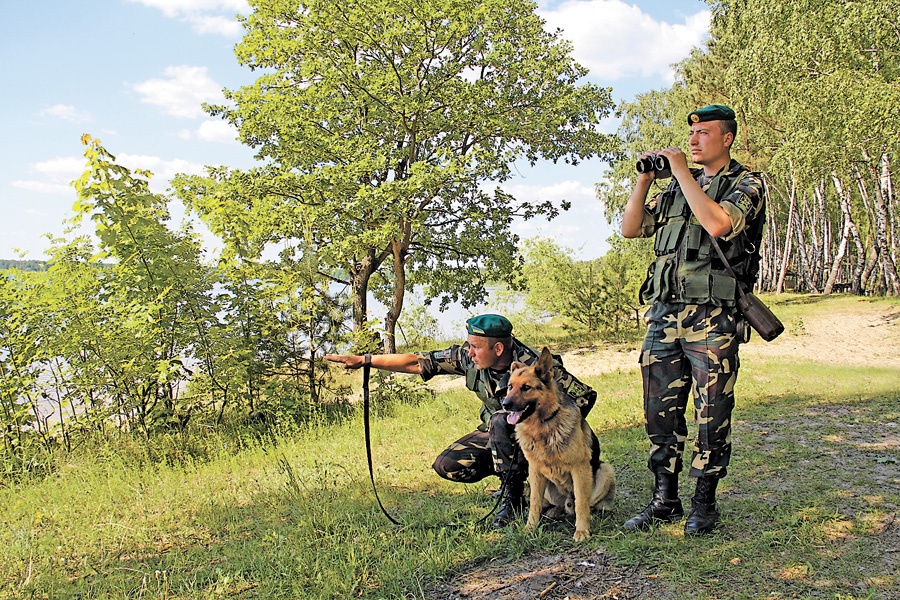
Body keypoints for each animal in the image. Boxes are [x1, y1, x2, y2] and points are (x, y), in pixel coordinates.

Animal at [502, 346, 616, 540]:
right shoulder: (535, 471)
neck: (543, 426)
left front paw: (582, 530)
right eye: (510, 387)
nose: (505, 404)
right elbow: (534, 503)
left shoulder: (580, 469)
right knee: (556, 505)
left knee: (590, 504)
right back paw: (554, 511)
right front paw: (530, 528)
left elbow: (581, 504)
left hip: (605, 470)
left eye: (526, 387)